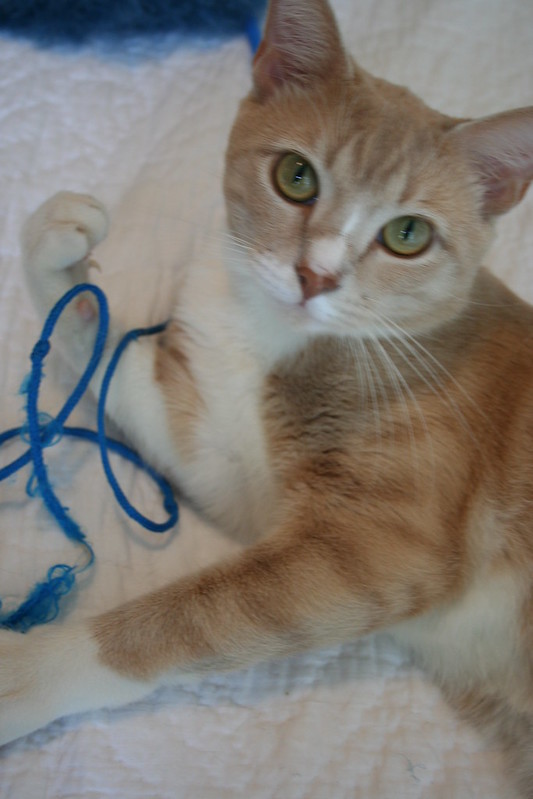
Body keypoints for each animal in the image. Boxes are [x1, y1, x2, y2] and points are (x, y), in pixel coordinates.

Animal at [1, 0, 532, 792]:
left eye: (408, 233)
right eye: (296, 176)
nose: (316, 275)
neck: (276, 339)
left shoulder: (377, 545)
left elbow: (184, 619)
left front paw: (27, 670)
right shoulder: (230, 466)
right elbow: (110, 354)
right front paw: (57, 258)